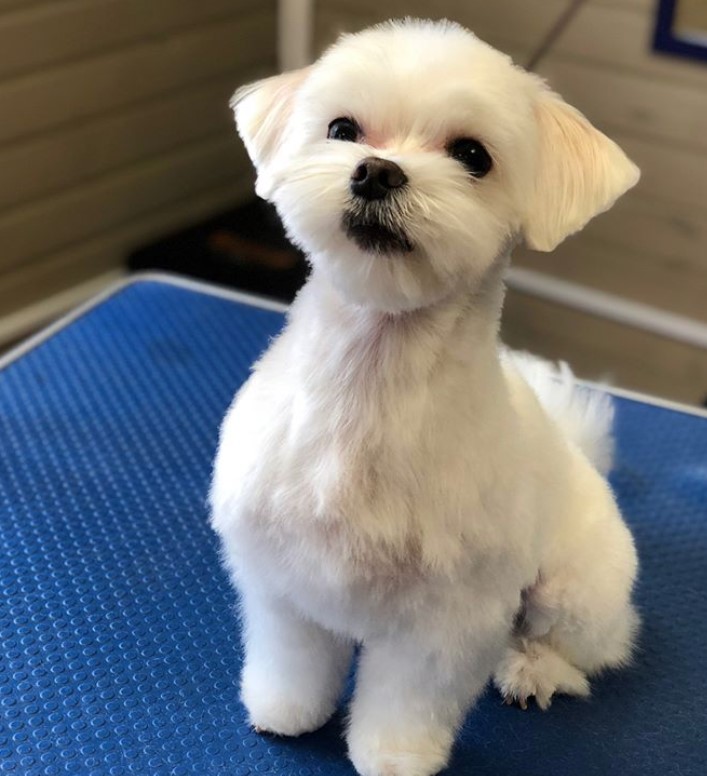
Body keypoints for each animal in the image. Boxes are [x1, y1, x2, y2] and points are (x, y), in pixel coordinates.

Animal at [209, 16, 640, 776]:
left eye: (472, 155)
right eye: (343, 129)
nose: (377, 170)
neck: (372, 381)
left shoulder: (449, 618)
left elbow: (409, 699)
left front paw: (393, 756)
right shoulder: (282, 578)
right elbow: (293, 658)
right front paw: (286, 710)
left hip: (573, 589)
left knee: (586, 648)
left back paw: (532, 670)